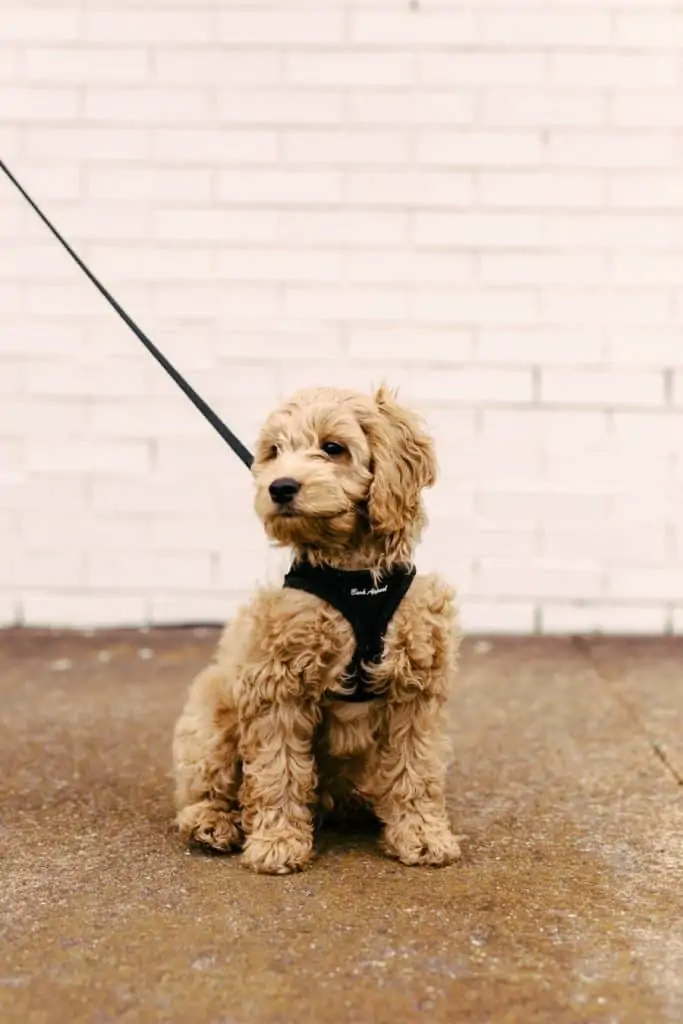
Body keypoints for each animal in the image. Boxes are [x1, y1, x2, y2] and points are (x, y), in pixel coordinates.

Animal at [171, 385, 462, 872]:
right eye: (274, 452)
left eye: (333, 448)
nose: (280, 487)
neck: (354, 574)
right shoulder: (276, 685)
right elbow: (278, 769)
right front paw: (277, 842)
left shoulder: (414, 687)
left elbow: (415, 768)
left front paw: (422, 835)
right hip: (211, 715)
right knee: (204, 788)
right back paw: (214, 823)